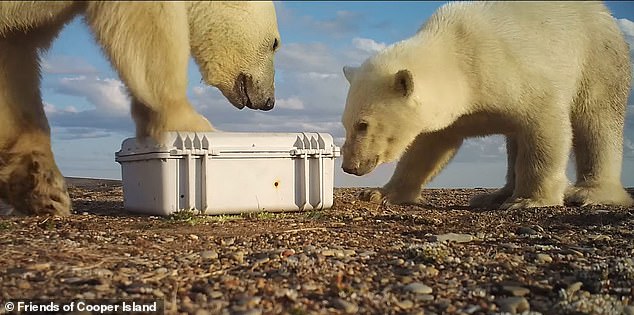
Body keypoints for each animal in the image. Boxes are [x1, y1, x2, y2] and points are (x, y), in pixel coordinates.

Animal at [0, 1, 282, 216]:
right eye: (275, 43)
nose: (269, 102)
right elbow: (150, 25)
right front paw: (190, 121)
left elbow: (14, 60)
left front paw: (41, 187)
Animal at [340, 2, 632, 211]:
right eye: (345, 124)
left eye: (362, 124)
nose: (350, 166)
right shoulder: (455, 112)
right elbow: (427, 148)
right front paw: (378, 193)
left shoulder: (512, 69)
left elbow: (545, 124)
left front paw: (528, 200)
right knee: (515, 140)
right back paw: (493, 196)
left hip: (599, 57)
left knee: (597, 120)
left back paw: (590, 193)